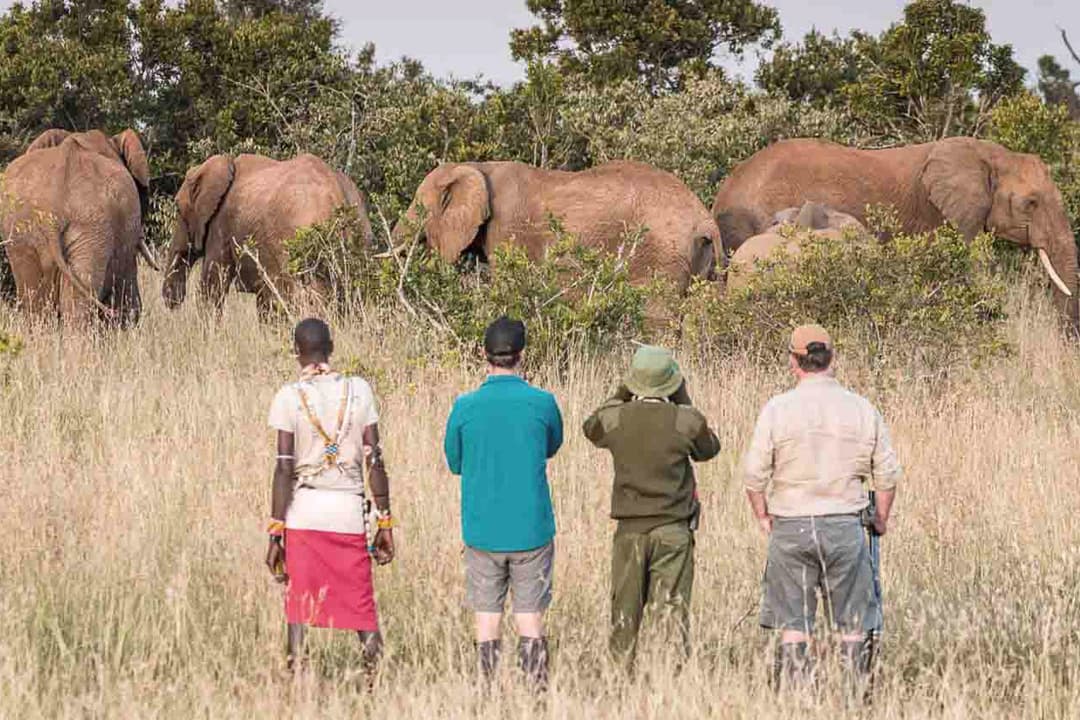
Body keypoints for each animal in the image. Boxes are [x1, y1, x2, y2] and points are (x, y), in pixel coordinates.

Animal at [162, 153, 373, 313]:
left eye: (178, 209)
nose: (173, 302)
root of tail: (337, 197)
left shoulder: (220, 227)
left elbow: (213, 284)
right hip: (359, 239)